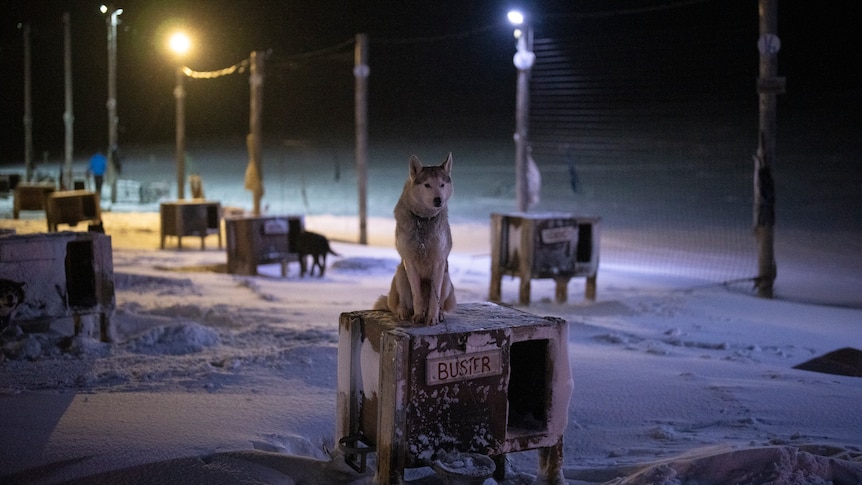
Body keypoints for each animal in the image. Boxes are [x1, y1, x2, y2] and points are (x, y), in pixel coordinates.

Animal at [378, 153, 460, 324]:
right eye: (427, 185)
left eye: (442, 185)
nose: (438, 200)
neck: (423, 221)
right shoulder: (409, 262)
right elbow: (417, 296)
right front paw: (418, 316)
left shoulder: (438, 263)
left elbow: (434, 299)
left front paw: (432, 318)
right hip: (401, 274)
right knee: (401, 303)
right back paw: (403, 312)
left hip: (446, 279)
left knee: (440, 302)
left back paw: (440, 314)